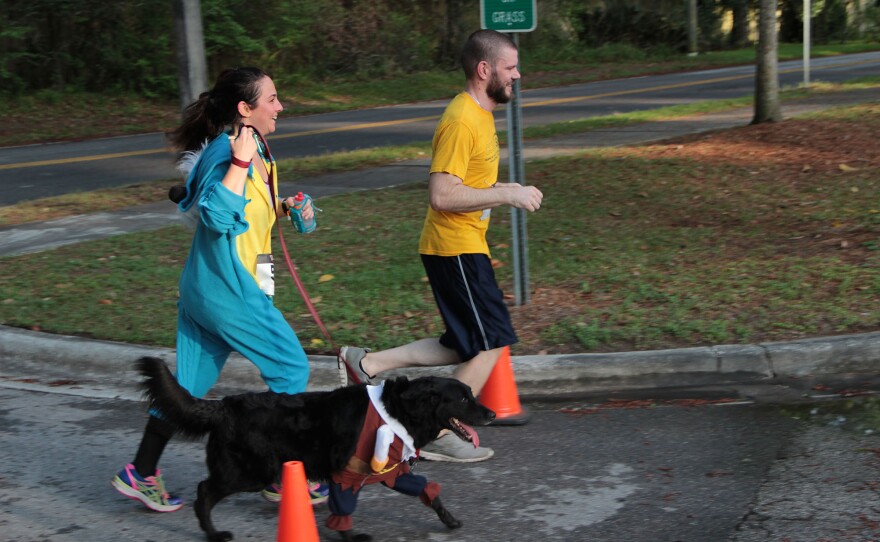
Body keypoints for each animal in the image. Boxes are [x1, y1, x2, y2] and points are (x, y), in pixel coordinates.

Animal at [135, 356, 498, 542]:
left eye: (471, 393)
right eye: (463, 398)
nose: (493, 414)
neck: (399, 408)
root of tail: (224, 406)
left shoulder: (392, 471)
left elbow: (428, 491)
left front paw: (449, 520)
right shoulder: (345, 473)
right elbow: (343, 510)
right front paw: (351, 537)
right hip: (248, 471)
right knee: (204, 492)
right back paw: (212, 533)